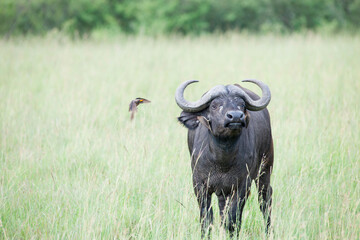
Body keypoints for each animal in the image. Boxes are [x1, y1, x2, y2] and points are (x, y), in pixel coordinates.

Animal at [176, 79, 274, 237]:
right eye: (214, 105)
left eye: (242, 104)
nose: (236, 116)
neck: (222, 160)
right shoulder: (199, 185)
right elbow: (206, 218)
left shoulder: (241, 187)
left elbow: (233, 220)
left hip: (265, 170)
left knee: (265, 200)